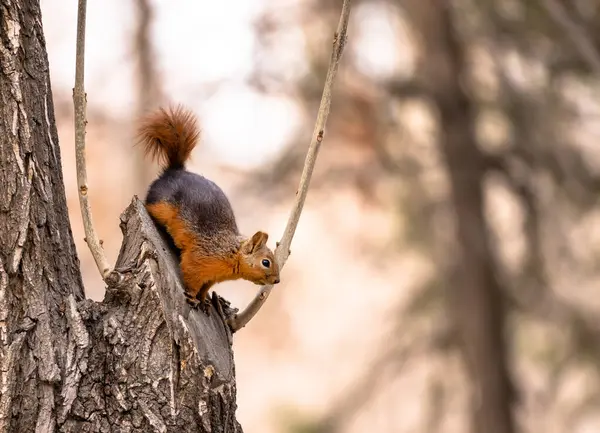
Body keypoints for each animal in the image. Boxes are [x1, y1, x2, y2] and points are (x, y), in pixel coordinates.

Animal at [138, 106, 282, 312]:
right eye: (266, 262)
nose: (277, 280)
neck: (230, 252)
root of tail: (174, 172)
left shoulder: (212, 278)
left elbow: (205, 287)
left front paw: (204, 300)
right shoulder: (199, 260)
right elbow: (191, 277)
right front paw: (192, 297)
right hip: (161, 205)